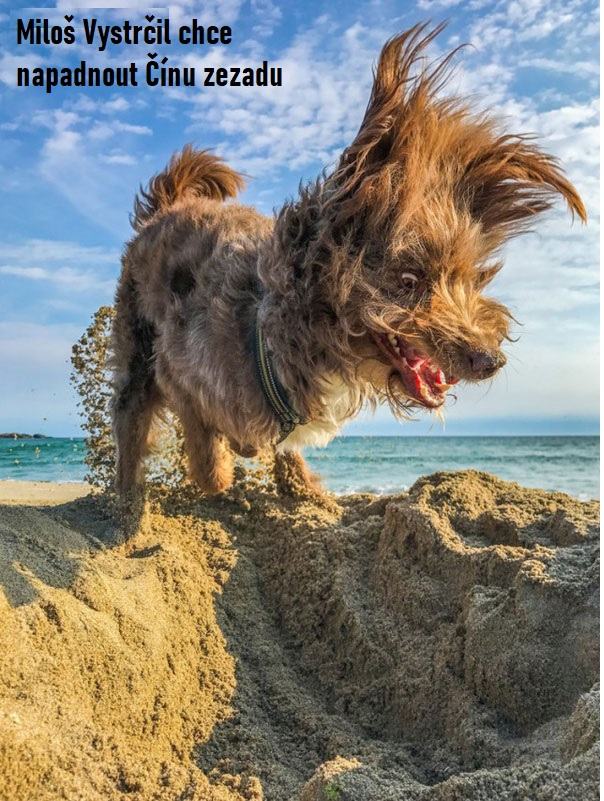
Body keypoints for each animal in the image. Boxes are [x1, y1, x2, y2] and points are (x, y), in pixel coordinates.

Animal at [109, 23, 584, 500]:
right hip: (137, 352)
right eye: (409, 279)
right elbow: (209, 458)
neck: (273, 324)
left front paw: (304, 487)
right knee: (131, 421)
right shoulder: (178, 372)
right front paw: (222, 472)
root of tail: (171, 207)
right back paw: (128, 497)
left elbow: (280, 447)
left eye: (468, 280)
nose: (491, 360)